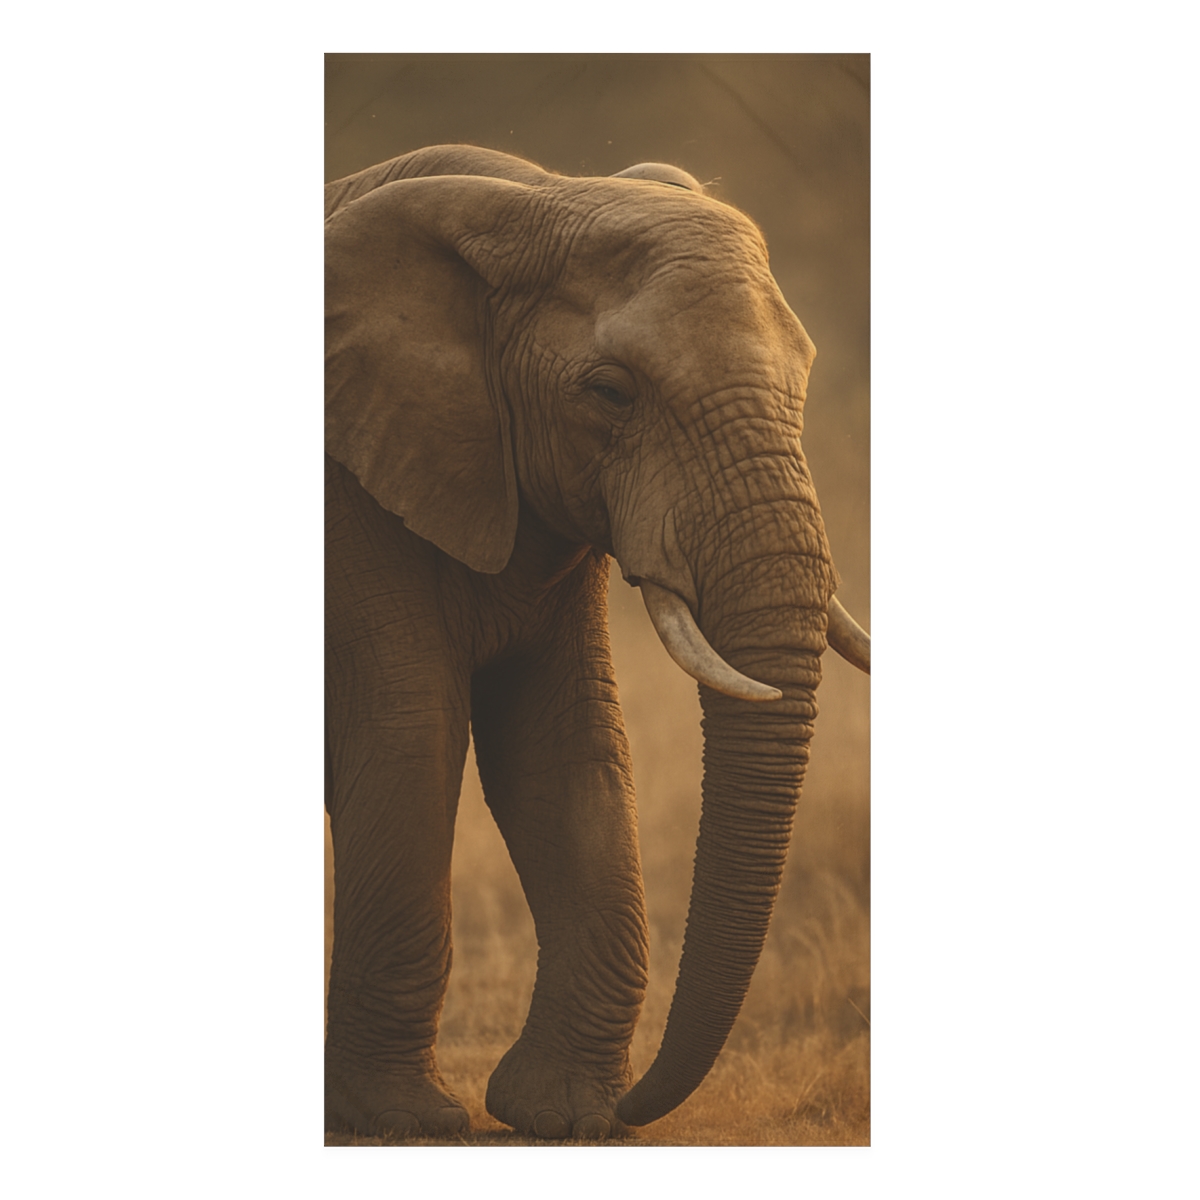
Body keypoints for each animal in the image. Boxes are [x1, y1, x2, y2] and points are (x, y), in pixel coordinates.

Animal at [324, 144, 870, 1141]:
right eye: (611, 393)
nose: (637, 1102)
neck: (522, 195)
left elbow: (567, 751)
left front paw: (562, 1114)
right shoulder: (348, 501)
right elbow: (410, 737)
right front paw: (403, 1119)